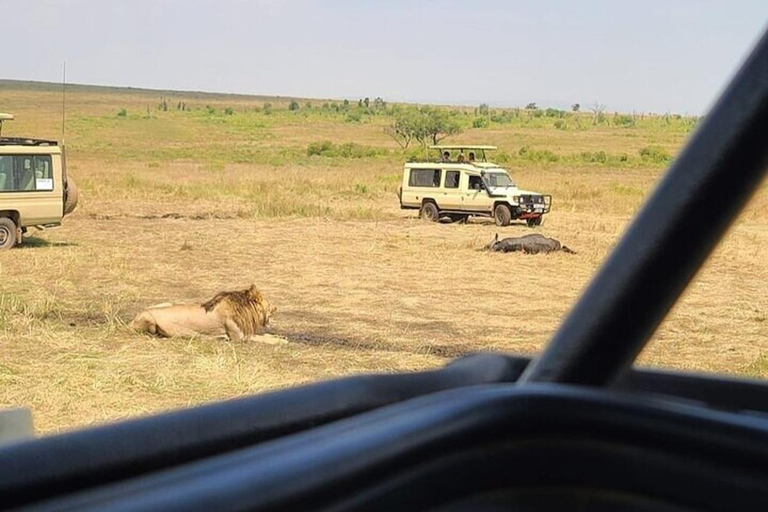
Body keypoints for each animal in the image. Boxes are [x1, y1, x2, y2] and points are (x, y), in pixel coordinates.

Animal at [128, 284, 276, 340]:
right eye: (269, 303)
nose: (276, 308)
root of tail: (132, 320)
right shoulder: (239, 337)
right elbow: (264, 339)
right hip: (150, 320)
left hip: (166, 303)